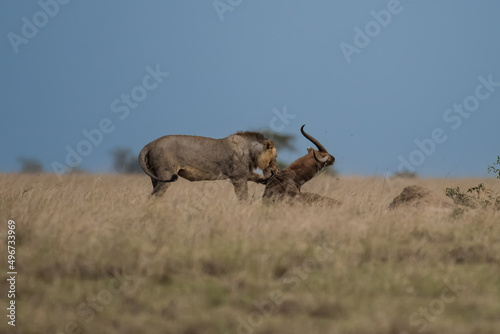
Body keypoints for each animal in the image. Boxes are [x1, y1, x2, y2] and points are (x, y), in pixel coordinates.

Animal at [138, 129, 278, 200]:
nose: (276, 170)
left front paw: (271, 180)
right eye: (275, 157)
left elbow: (258, 178)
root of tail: (149, 145)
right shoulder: (238, 178)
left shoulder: (245, 174)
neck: (251, 151)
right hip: (165, 176)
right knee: (154, 196)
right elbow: (243, 197)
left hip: (155, 177)